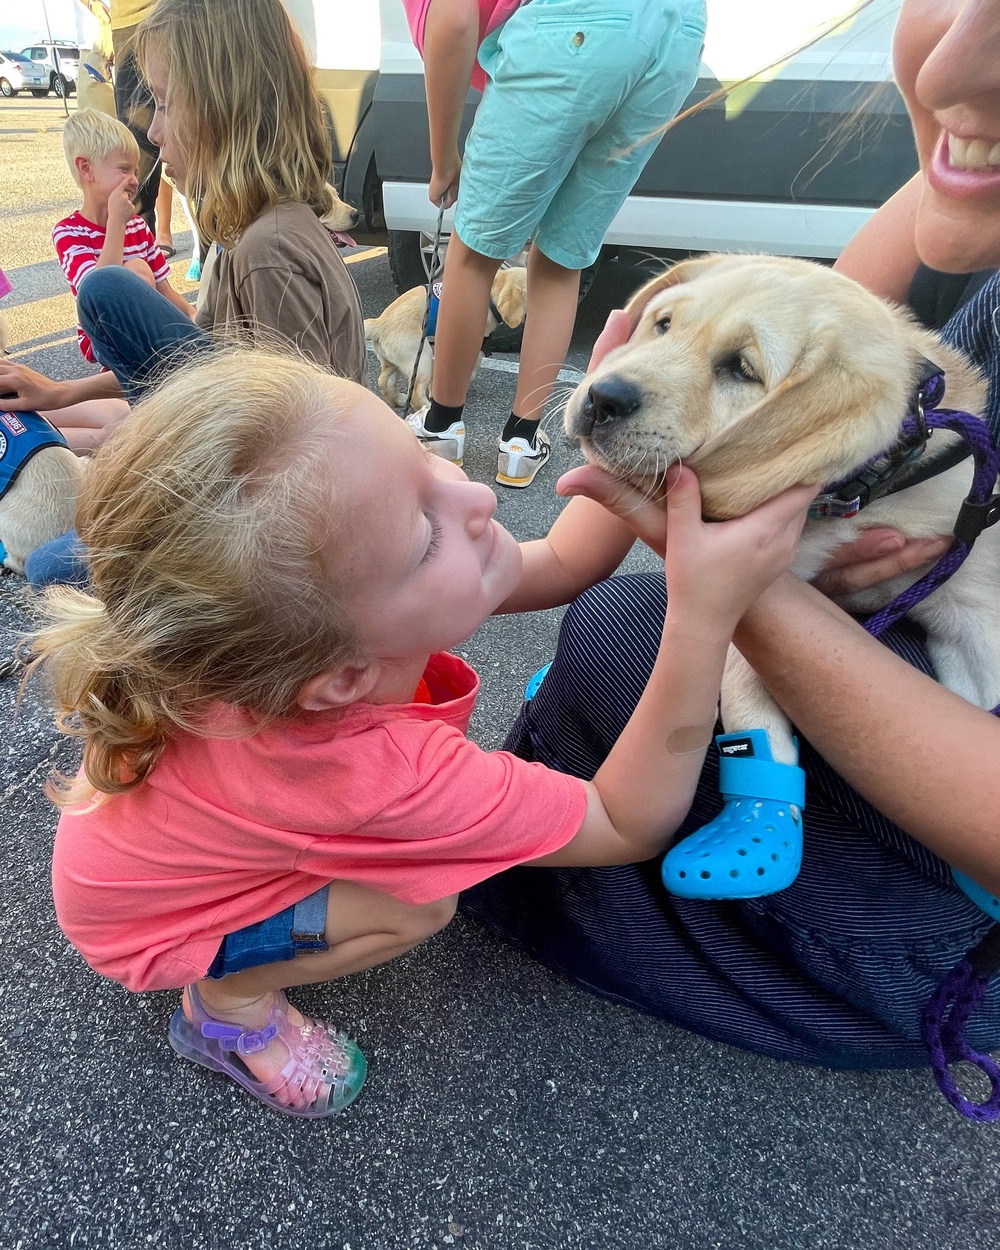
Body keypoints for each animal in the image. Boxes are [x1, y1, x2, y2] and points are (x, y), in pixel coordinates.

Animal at [362, 268, 527, 415]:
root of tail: (380, 323)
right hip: (421, 356)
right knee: (415, 394)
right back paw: (427, 408)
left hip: (393, 361)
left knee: (384, 380)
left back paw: (399, 400)